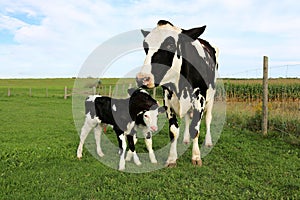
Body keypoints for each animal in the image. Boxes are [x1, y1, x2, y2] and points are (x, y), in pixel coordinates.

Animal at [136, 19, 218, 167]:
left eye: (170, 44)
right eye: (145, 46)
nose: (142, 78)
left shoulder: (200, 99)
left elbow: (195, 128)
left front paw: (196, 156)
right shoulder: (167, 100)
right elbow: (173, 131)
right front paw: (171, 159)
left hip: (211, 97)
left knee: (208, 118)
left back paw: (208, 142)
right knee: (187, 118)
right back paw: (185, 140)